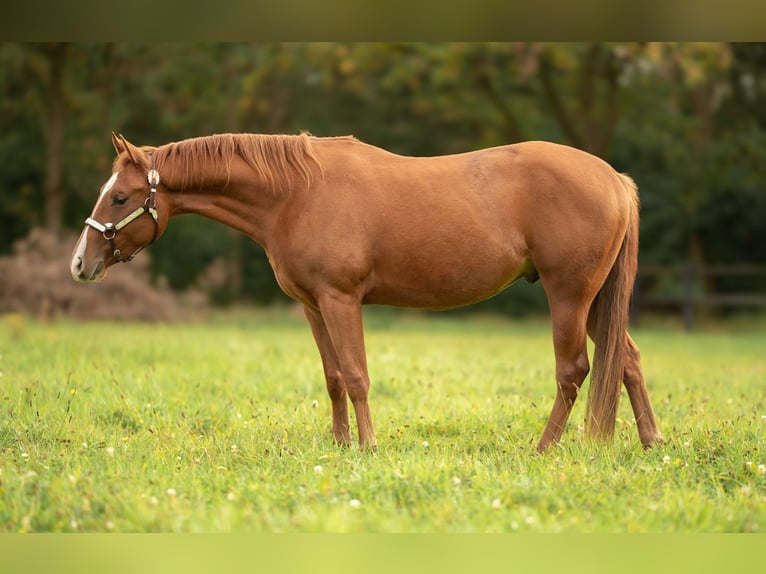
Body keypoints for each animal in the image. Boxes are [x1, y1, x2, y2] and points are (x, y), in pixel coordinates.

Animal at [70, 133, 664, 452]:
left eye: (120, 197)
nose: (80, 264)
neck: (296, 193)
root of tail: (614, 179)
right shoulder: (313, 307)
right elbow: (334, 378)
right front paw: (338, 446)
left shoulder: (341, 300)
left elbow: (356, 376)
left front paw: (369, 446)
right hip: (596, 301)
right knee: (628, 359)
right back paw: (652, 442)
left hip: (570, 297)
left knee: (574, 371)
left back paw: (543, 450)